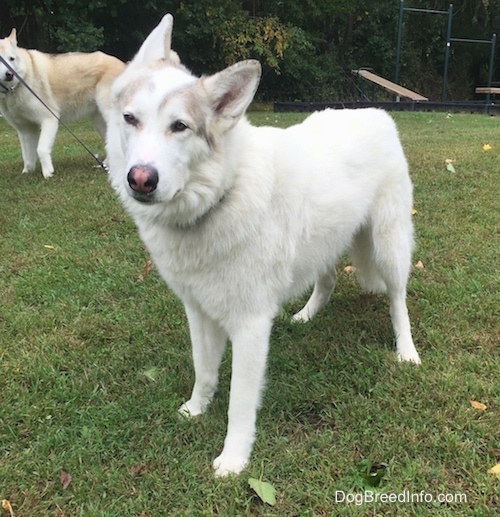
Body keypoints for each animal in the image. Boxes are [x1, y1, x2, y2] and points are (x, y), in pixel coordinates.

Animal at [0, 30, 125, 179]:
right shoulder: (25, 130)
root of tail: (124, 64)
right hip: (100, 121)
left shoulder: (49, 119)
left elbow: (41, 149)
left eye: (11, 59)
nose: (9, 74)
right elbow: (27, 155)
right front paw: (27, 172)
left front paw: (48, 173)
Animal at [106, 14, 422, 478]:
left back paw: (406, 352)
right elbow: (204, 372)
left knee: (398, 302)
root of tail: (374, 112)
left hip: (389, 246)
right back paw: (307, 315)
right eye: (130, 119)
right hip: (324, 242)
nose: (140, 179)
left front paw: (234, 460)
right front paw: (195, 410)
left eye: (180, 126)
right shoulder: (199, 312)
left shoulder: (250, 325)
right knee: (327, 280)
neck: (220, 196)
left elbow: (239, 404)